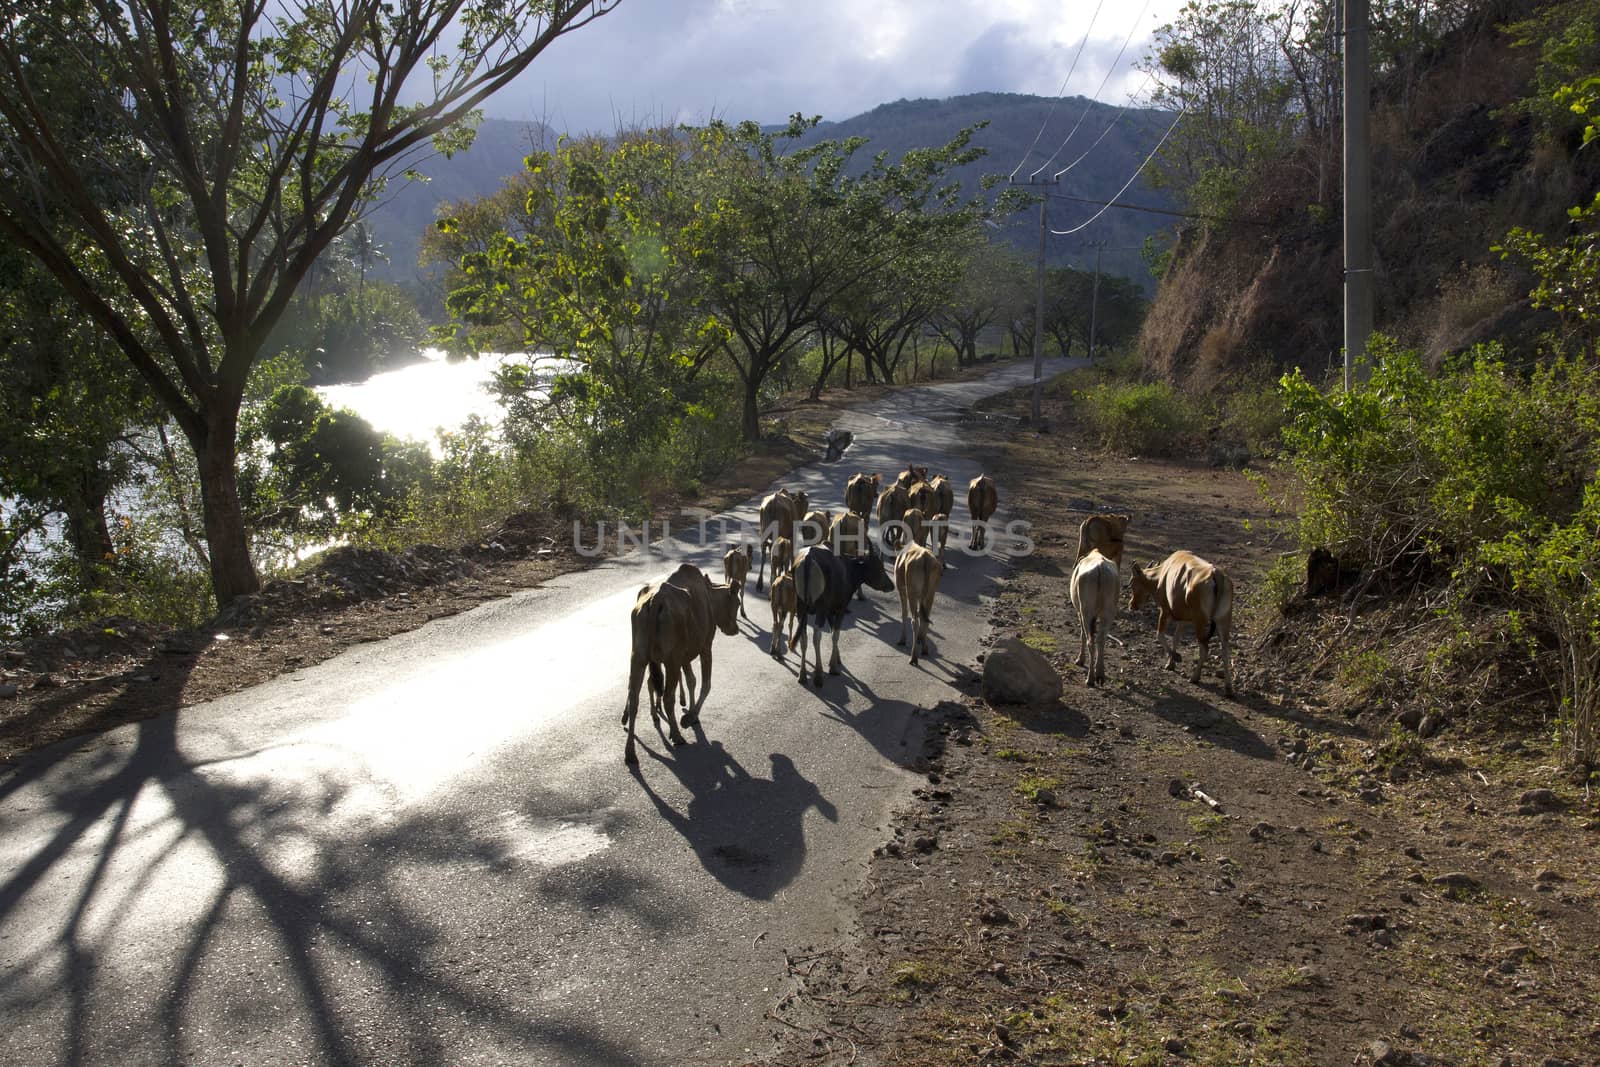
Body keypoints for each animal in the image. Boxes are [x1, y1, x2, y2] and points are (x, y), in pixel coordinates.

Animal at [627, 563, 745, 764]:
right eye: (736, 603)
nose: (734, 629)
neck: (710, 596)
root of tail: (655, 601)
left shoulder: (685, 655)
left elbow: (691, 681)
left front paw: (690, 712)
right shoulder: (704, 647)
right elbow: (705, 684)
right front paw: (689, 717)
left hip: (639, 657)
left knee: (634, 697)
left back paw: (630, 752)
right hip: (670, 660)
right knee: (667, 697)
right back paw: (676, 734)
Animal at [1068, 547, 1120, 687]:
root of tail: (1100, 568)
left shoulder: (1080, 612)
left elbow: (1082, 634)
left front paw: (1080, 660)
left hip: (1086, 611)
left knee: (1090, 640)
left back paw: (1090, 678)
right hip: (1109, 612)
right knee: (1101, 639)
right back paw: (1100, 675)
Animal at [1126, 556, 1235, 697]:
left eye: (1132, 583)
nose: (1131, 605)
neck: (1161, 575)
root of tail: (1217, 575)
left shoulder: (1165, 610)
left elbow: (1159, 634)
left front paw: (1176, 657)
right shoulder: (1183, 618)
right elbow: (1176, 638)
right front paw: (1170, 663)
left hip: (1200, 621)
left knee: (1204, 648)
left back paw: (1195, 677)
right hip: (1223, 620)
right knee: (1225, 650)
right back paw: (1228, 688)